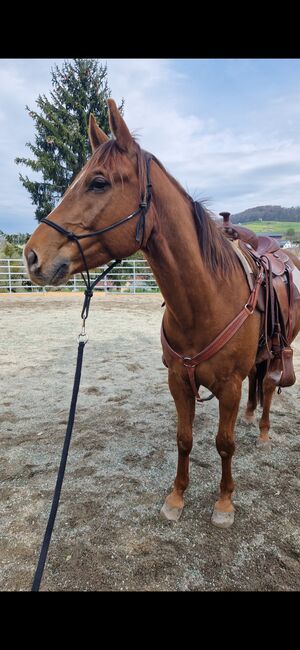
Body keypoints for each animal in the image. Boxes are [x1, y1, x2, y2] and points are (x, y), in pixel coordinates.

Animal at [24, 100, 300, 528]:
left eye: (98, 182)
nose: (31, 256)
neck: (204, 300)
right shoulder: (178, 381)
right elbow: (184, 439)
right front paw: (176, 497)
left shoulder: (229, 387)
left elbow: (224, 443)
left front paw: (224, 503)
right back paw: (252, 417)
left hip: (277, 351)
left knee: (269, 386)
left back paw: (265, 430)